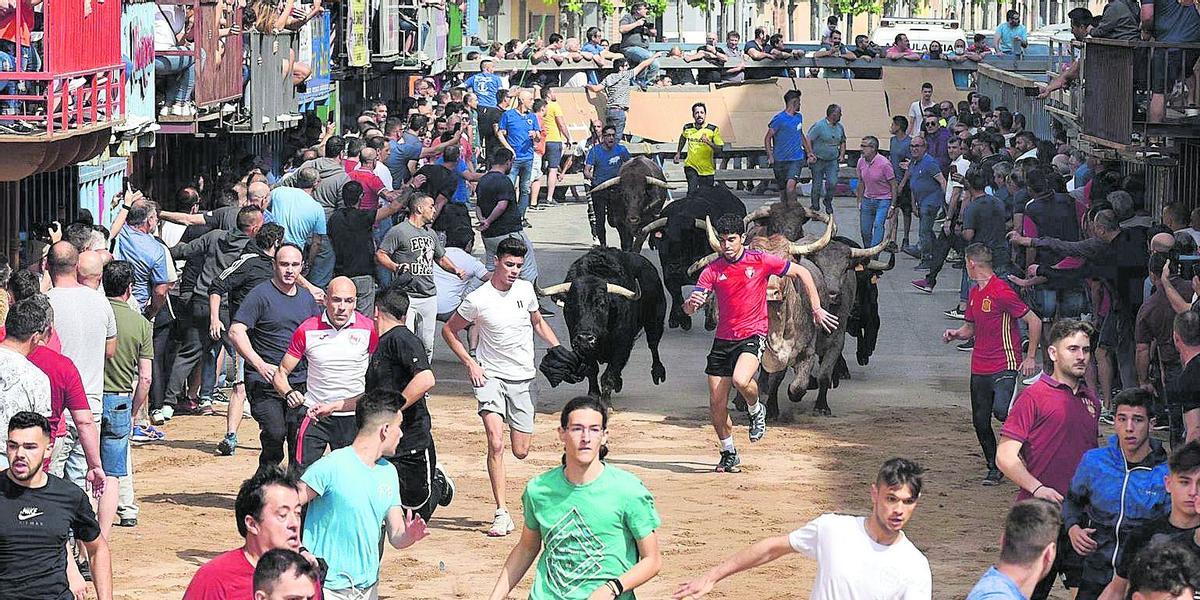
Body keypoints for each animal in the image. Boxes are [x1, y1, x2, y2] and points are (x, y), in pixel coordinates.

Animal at [540, 248, 672, 403]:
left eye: (602, 304)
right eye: (571, 304)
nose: (585, 338)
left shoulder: (622, 344)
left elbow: (610, 372)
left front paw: (606, 400)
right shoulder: (580, 345)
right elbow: (592, 369)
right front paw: (593, 394)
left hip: (655, 320)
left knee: (653, 344)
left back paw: (657, 373)